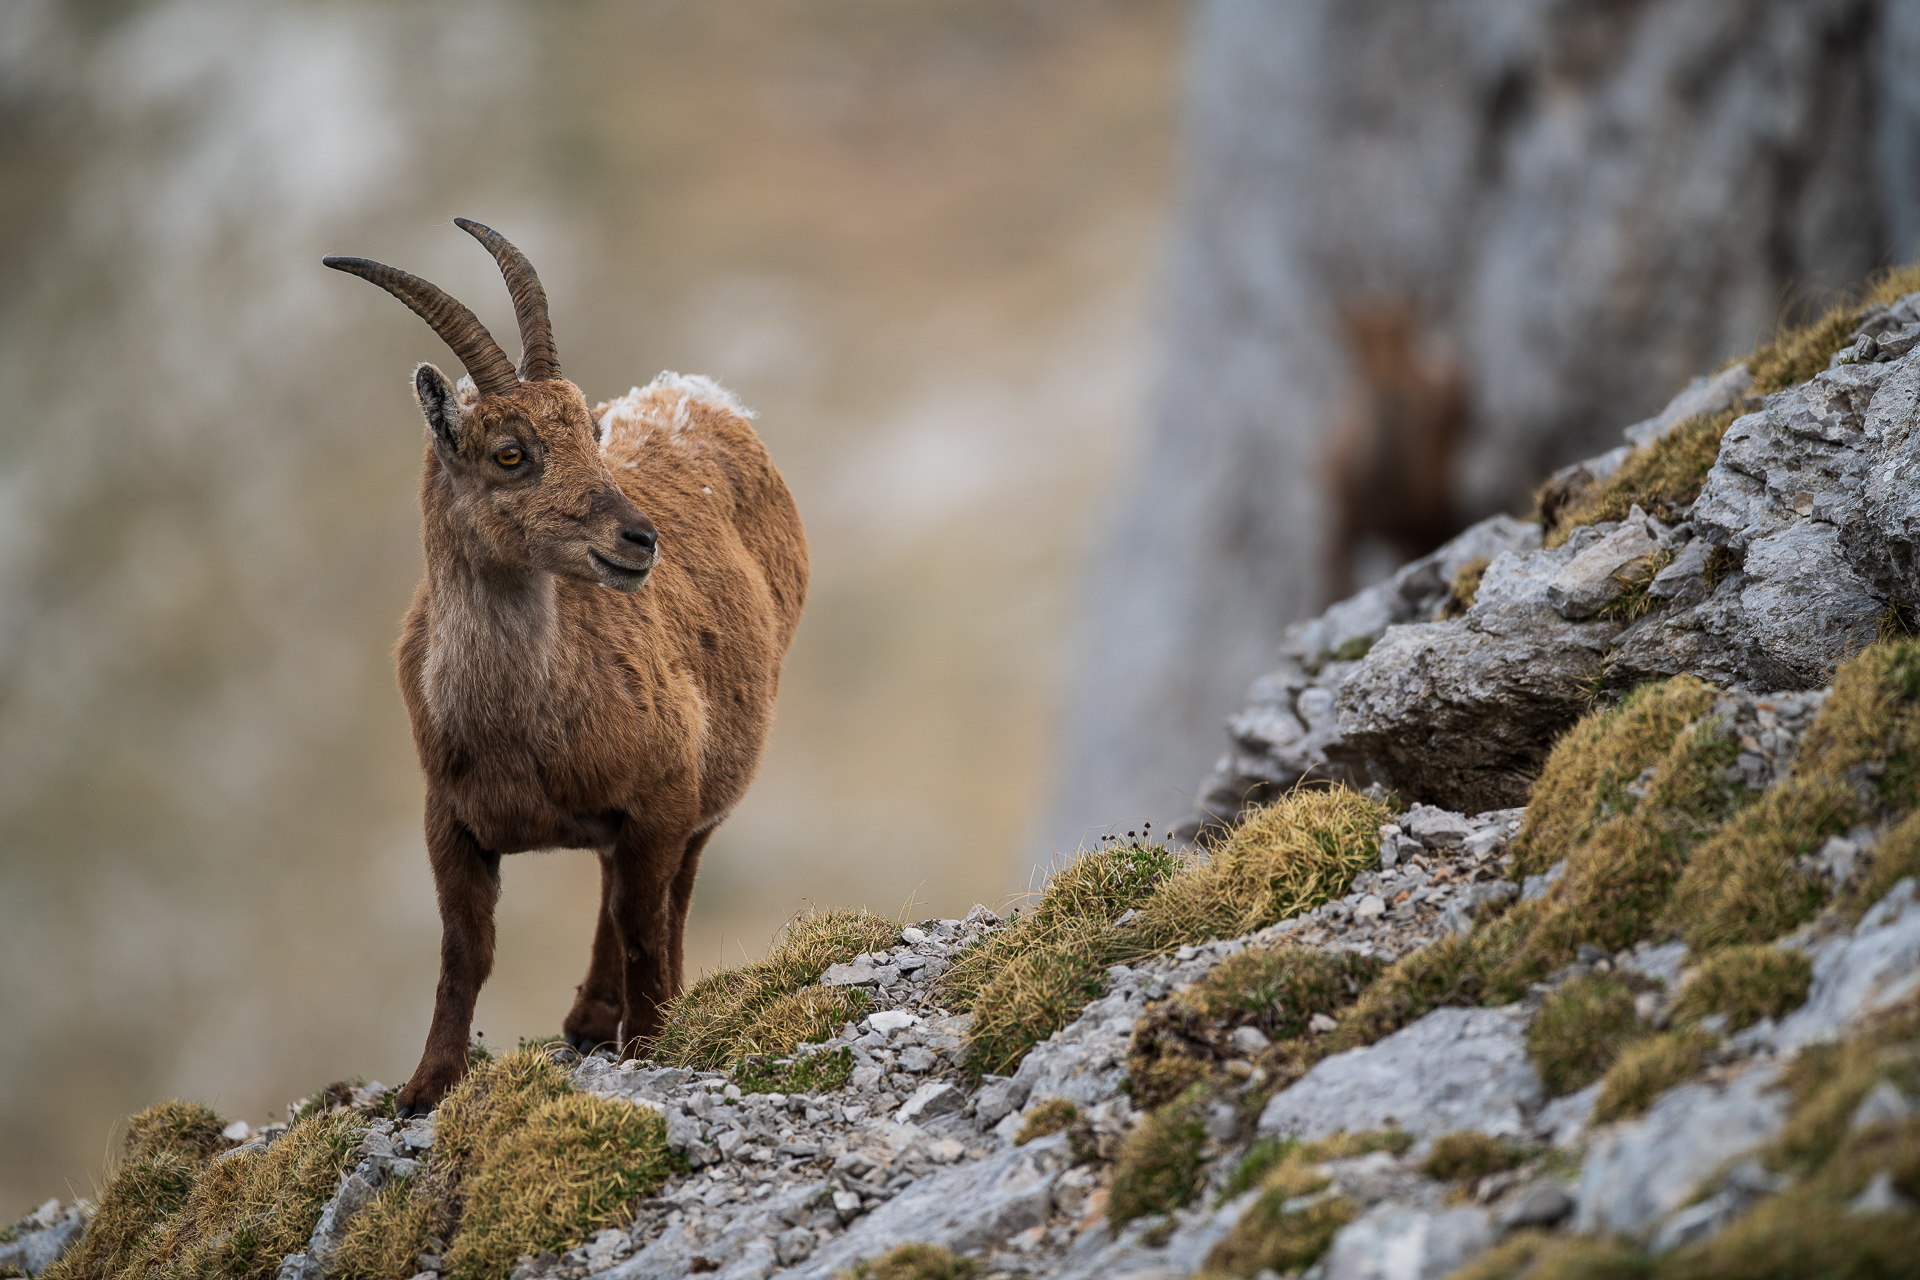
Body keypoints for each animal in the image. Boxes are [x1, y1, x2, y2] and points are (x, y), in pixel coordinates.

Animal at [324, 220, 807, 1116]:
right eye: (510, 453)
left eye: (591, 432)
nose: (640, 539)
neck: (518, 729)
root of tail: (698, 393)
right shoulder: (450, 820)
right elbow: (465, 950)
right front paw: (427, 1085)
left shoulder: (663, 789)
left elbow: (643, 921)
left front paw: (648, 1041)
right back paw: (586, 1017)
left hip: (718, 768)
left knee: (670, 891)